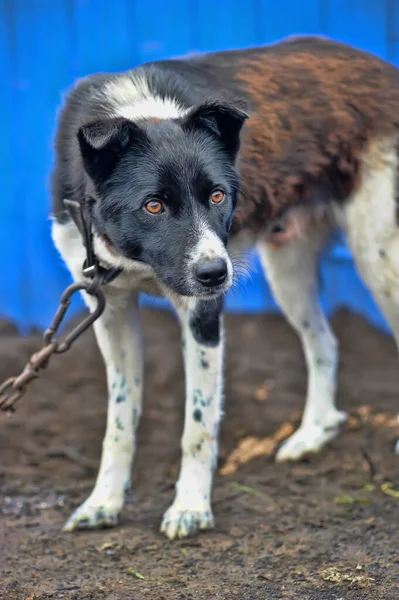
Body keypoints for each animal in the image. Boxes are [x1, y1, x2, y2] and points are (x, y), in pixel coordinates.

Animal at [51, 36, 399, 540]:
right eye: (153, 205)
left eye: (217, 195)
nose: (217, 273)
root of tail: (382, 69)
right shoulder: (111, 312)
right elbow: (119, 420)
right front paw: (104, 502)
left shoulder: (202, 314)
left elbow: (197, 424)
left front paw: (190, 508)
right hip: (287, 267)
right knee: (324, 342)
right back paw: (312, 433)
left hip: (380, 258)